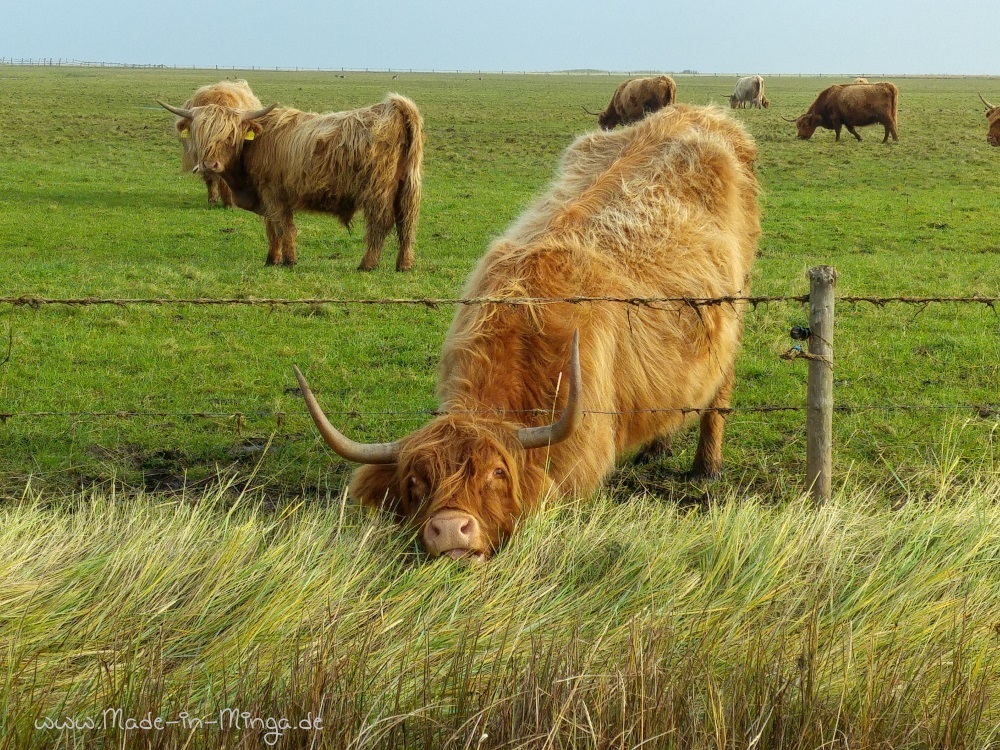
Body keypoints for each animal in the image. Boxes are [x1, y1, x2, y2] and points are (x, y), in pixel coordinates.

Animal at [158, 93, 424, 270]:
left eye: (229, 135)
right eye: (199, 134)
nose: (209, 165)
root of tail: (394, 106)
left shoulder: (274, 193)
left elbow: (283, 227)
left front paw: (288, 260)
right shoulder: (266, 197)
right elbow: (272, 229)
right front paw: (272, 259)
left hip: (378, 190)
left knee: (382, 223)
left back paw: (367, 264)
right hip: (408, 186)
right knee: (407, 223)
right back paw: (404, 265)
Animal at [176, 79, 262, 207]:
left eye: (229, 137)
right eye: (199, 136)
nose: (211, 164)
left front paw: (229, 202)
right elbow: (210, 177)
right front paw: (212, 201)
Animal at [292, 104, 760, 564]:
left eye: (497, 473)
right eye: (415, 482)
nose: (449, 529)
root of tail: (705, 113)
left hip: (734, 311)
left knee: (719, 394)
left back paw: (706, 467)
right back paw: (656, 447)